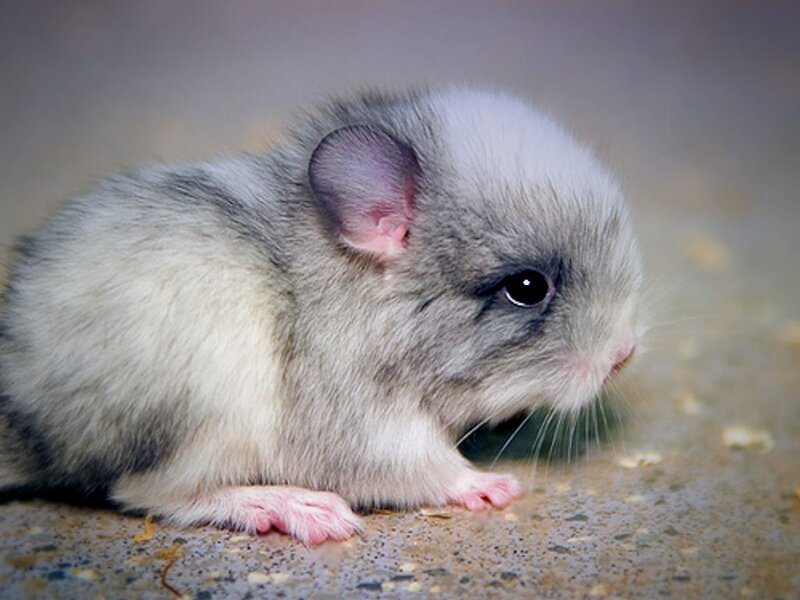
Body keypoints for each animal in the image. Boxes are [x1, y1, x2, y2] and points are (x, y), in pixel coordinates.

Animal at [0, 87, 641, 544]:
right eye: (527, 288)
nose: (624, 354)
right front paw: (492, 485)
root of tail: (34, 429)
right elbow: (429, 467)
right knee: (143, 490)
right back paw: (293, 508)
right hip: (203, 410)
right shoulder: (363, 426)